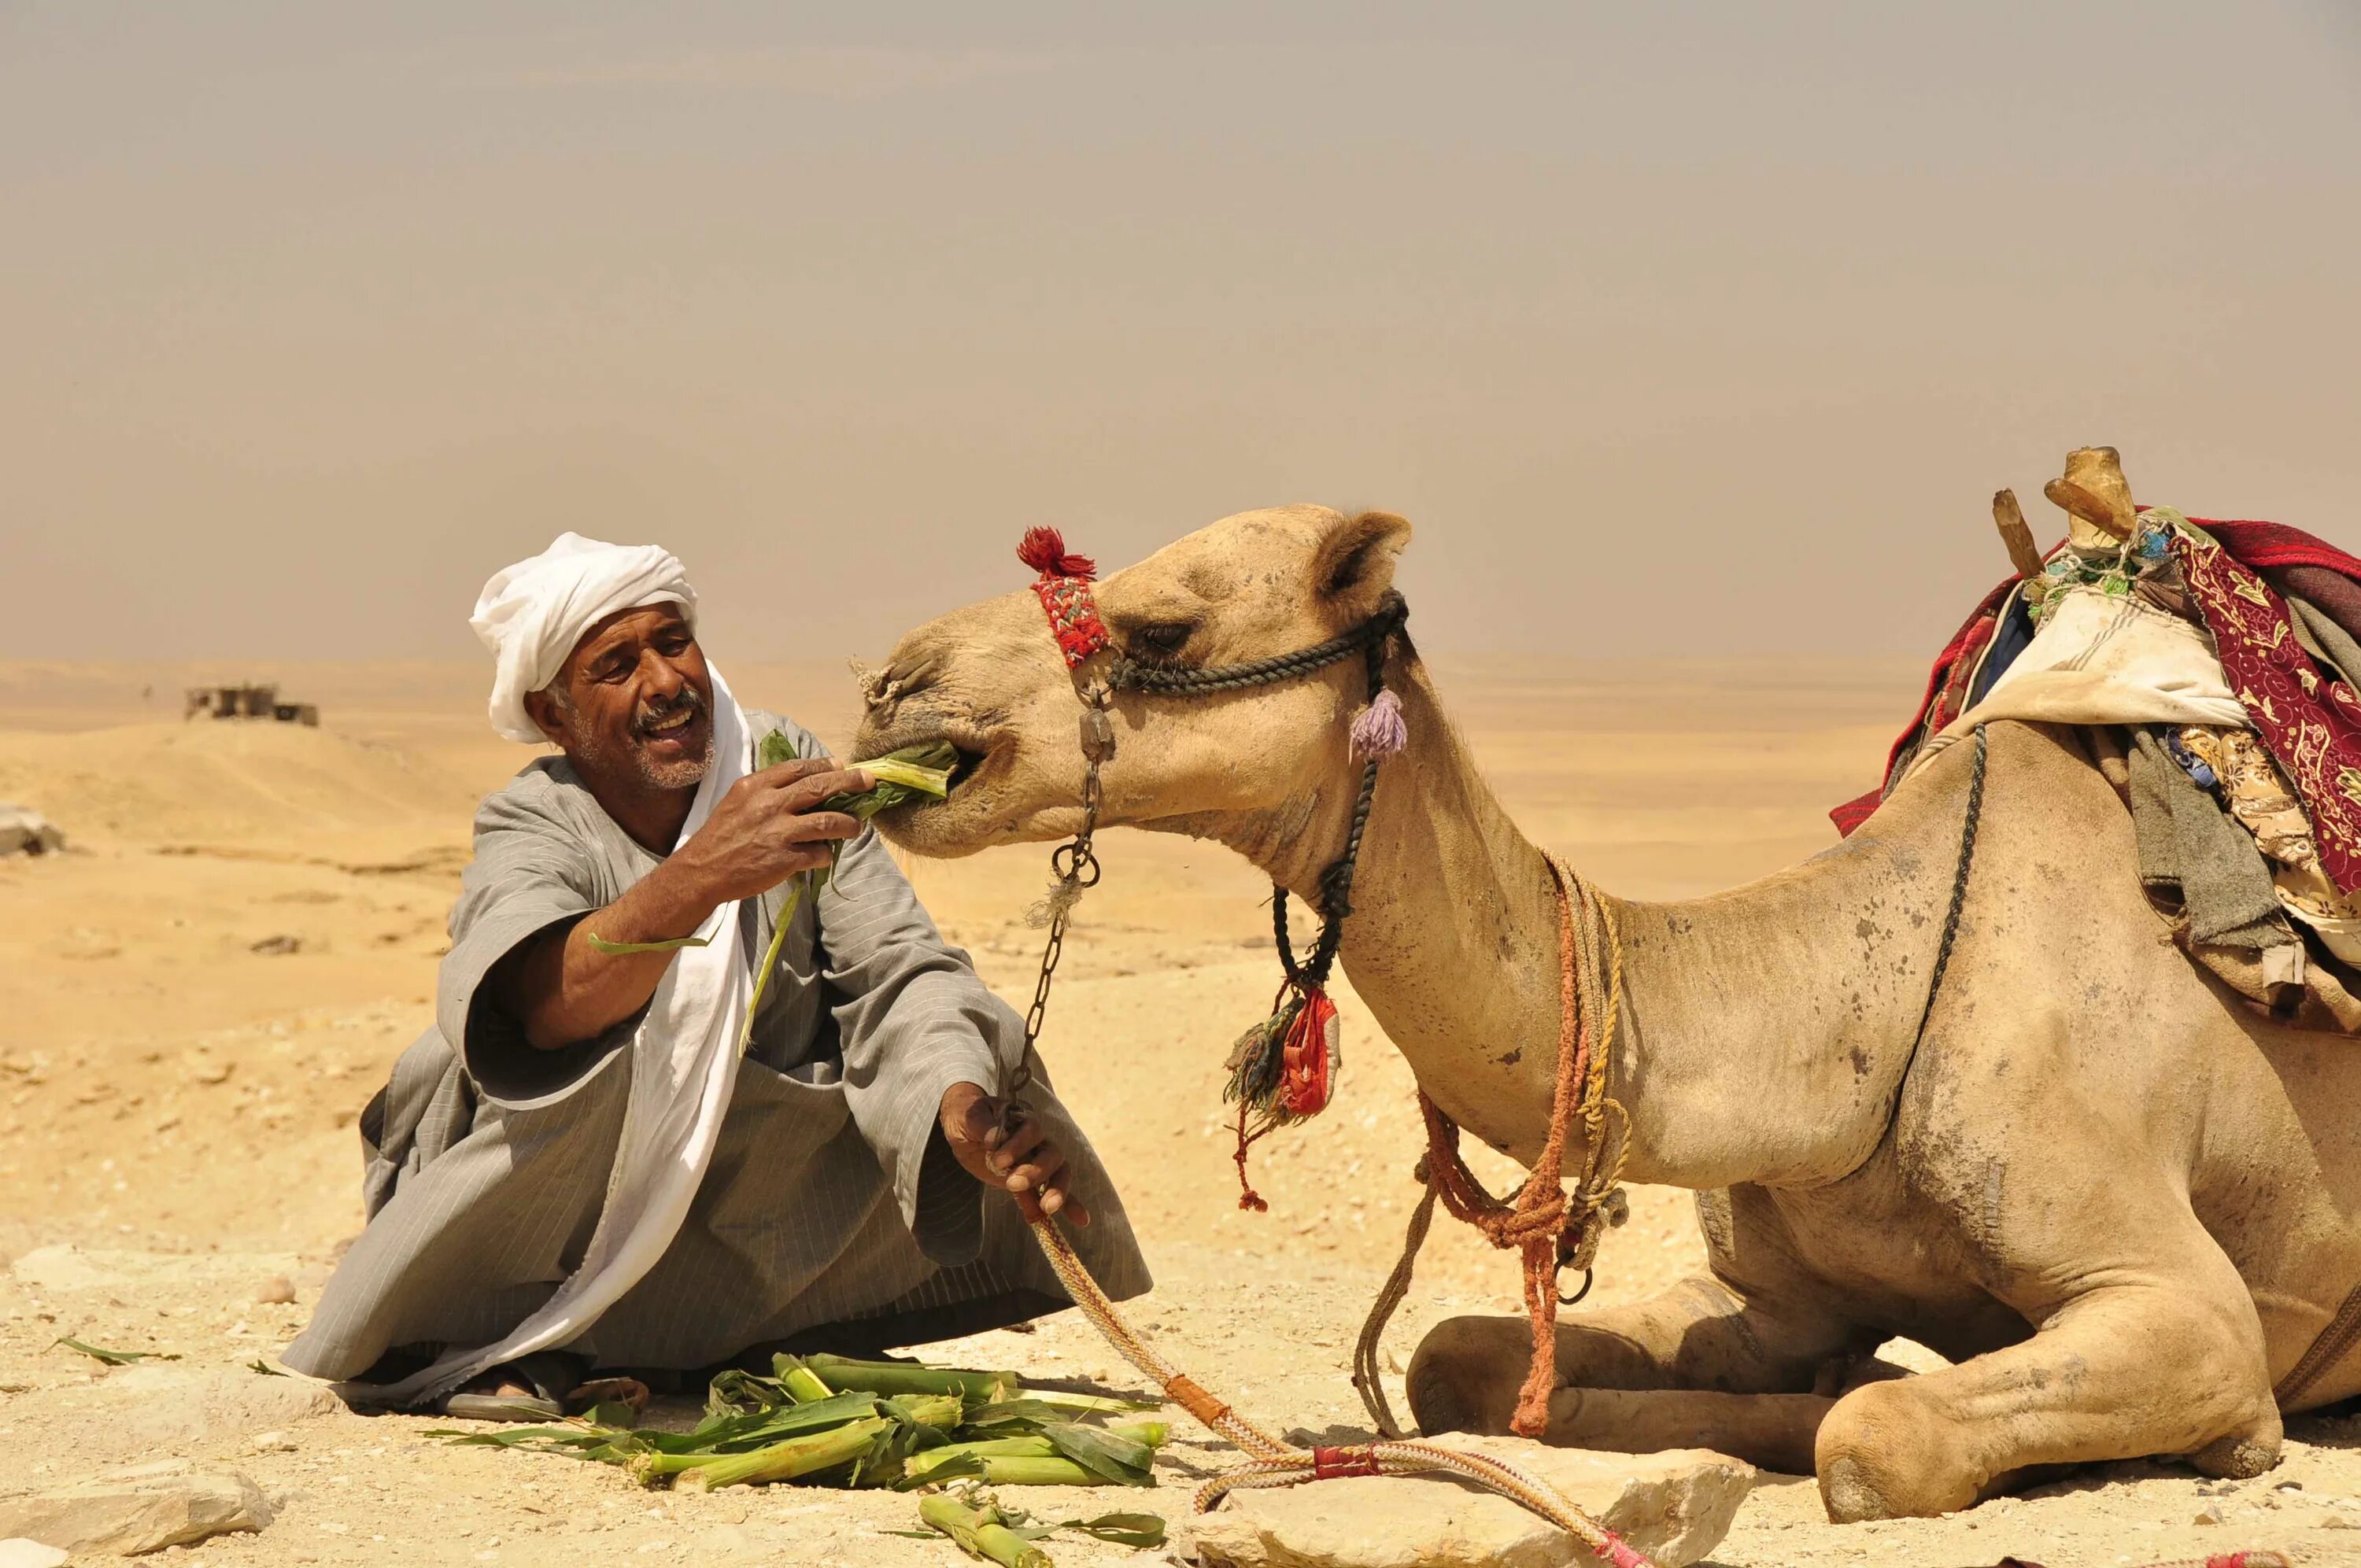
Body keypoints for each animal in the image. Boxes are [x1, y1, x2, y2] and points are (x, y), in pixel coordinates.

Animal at [859, 503, 2361, 1520]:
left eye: (1164, 625)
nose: (894, 686)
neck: (1854, 1014)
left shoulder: (2180, 1301)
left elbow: (1873, 1440)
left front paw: (2224, 1441)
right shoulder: (1763, 1288)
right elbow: (1460, 1359)